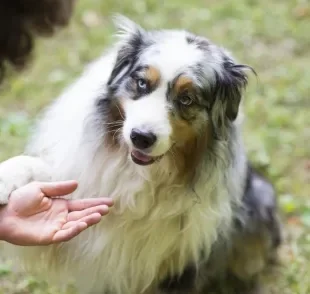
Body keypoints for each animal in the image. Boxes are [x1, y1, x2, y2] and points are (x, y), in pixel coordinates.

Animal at [0, 15, 282, 294]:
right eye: (142, 83)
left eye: (187, 98)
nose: (141, 137)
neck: (139, 172)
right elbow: (37, 168)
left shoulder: (183, 262)